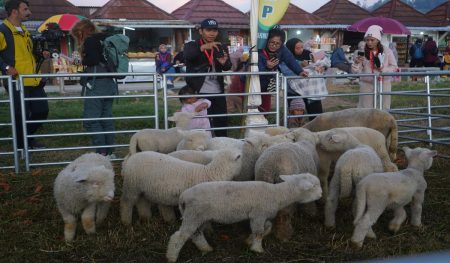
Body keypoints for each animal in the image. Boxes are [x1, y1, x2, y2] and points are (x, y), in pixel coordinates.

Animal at [167, 174, 322, 262]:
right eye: (314, 186)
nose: (321, 195)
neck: (278, 194)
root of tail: (183, 196)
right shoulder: (258, 214)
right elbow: (259, 232)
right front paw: (257, 249)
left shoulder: (261, 215)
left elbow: (267, 228)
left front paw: (249, 240)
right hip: (193, 215)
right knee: (179, 237)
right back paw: (171, 257)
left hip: (199, 217)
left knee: (196, 234)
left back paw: (206, 248)